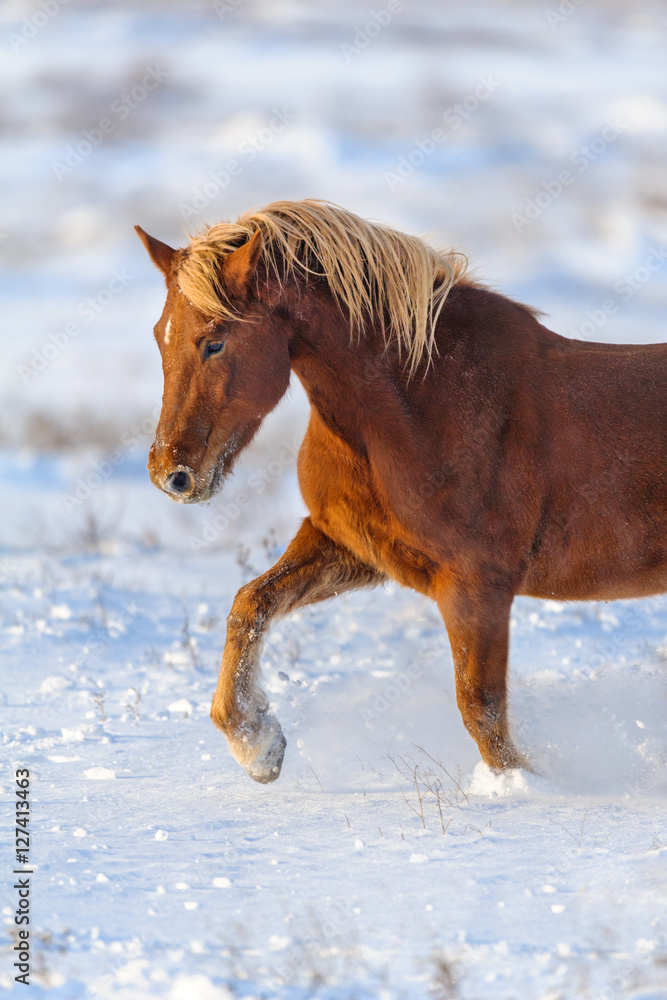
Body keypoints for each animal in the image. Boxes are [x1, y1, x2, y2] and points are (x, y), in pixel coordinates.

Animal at [136, 198, 667, 784]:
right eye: (159, 337)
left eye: (214, 342)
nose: (170, 474)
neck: (421, 407)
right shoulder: (347, 546)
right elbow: (249, 604)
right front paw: (258, 746)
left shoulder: (476, 586)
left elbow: (481, 708)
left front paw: (526, 786)